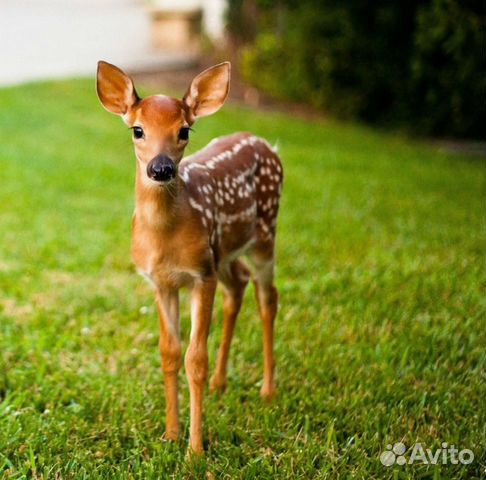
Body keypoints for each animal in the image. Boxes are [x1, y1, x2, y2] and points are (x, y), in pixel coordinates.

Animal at [96, 60, 282, 454]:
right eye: (138, 130)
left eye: (183, 130)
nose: (160, 167)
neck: (163, 238)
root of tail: (266, 144)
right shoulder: (161, 281)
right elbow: (169, 352)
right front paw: (170, 433)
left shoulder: (200, 275)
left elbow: (195, 358)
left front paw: (195, 450)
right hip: (222, 253)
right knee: (239, 285)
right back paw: (220, 383)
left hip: (264, 236)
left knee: (268, 297)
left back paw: (268, 390)